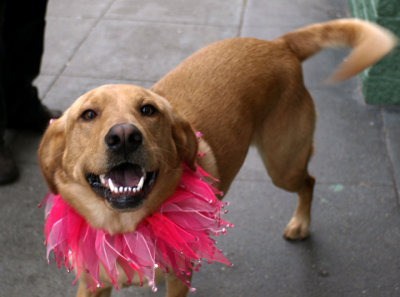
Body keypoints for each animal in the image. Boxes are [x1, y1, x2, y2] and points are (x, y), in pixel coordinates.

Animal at [39, 19, 396, 296]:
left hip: (283, 165)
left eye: (148, 110)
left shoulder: (180, 279)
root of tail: (279, 45)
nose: (125, 136)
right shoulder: (92, 285)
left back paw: (300, 224)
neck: (125, 227)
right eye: (88, 115)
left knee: (309, 180)